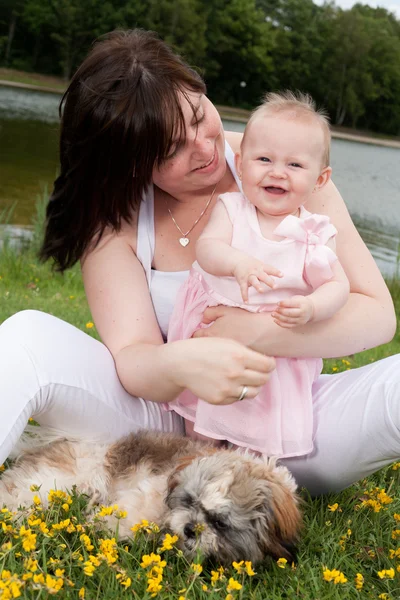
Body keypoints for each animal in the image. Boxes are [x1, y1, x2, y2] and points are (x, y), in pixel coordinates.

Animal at [0, 428, 300, 564]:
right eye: (190, 501)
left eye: (220, 523)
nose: (191, 528)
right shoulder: (147, 495)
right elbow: (127, 520)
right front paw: (100, 524)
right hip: (51, 483)